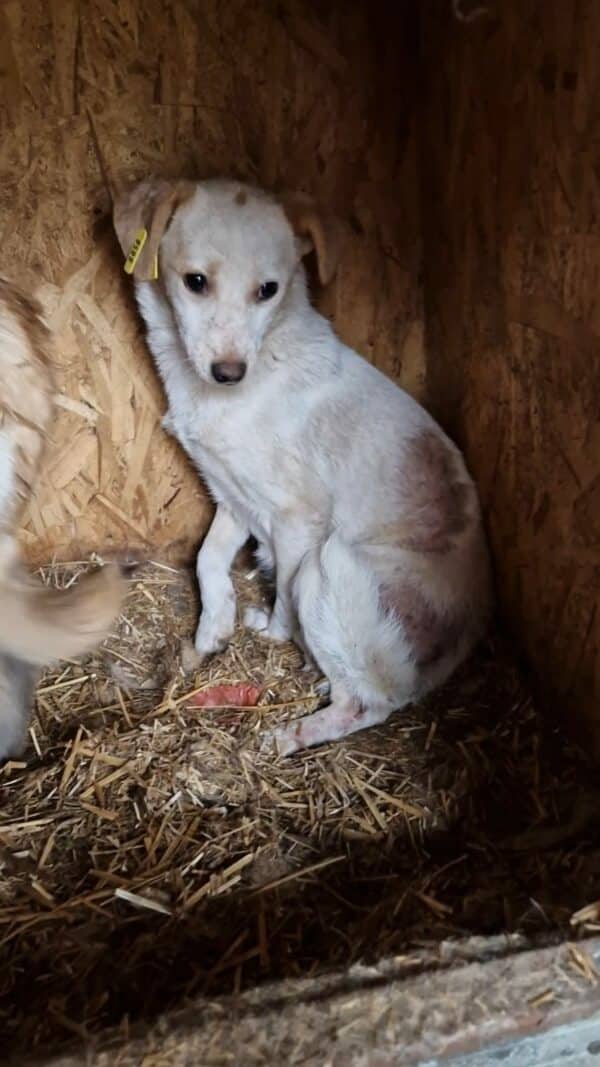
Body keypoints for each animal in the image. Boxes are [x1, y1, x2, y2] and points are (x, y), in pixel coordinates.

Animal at [113, 179, 491, 755]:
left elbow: (284, 599)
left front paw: (270, 633)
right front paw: (214, 625)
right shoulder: (232, 496)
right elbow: (206, 558)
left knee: (367, 703)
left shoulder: (297, 517)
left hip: (328, 563)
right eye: (196, 282)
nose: (229, 372)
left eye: (268, 290)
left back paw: (289, 733)